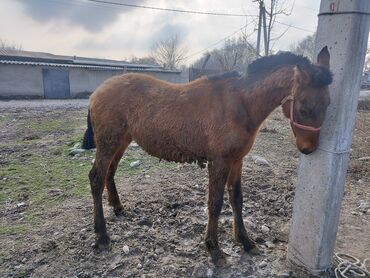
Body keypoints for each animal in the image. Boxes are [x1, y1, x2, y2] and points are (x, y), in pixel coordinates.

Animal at [81, 46, 332, 264]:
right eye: (304, 107)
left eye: (328, 103)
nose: (308, 149)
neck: (240, 103)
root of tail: (97, 92)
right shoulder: (219, 162)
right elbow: (216, 203)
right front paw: (214, 248)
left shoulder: (237, 160)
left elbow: (237, 199)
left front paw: (245, 241)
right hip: (108, 143)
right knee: (96, 178)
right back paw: (101, 235)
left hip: (121, 141)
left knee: (109, 173)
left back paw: (117, 207)